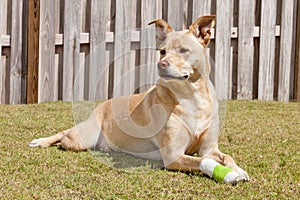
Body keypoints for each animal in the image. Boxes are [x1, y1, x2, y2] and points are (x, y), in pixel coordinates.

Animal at [29, 15, 250, 184]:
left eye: (183, 50)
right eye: (162, 51)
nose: (161, 64)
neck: (192, 98)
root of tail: (102, 105)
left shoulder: (209, 148)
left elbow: (226, 156)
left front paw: (238, 170)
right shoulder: (173, 155)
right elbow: (202, 162)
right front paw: (228, 175)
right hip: (83, 137)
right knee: (65, 134)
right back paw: (42, 141)